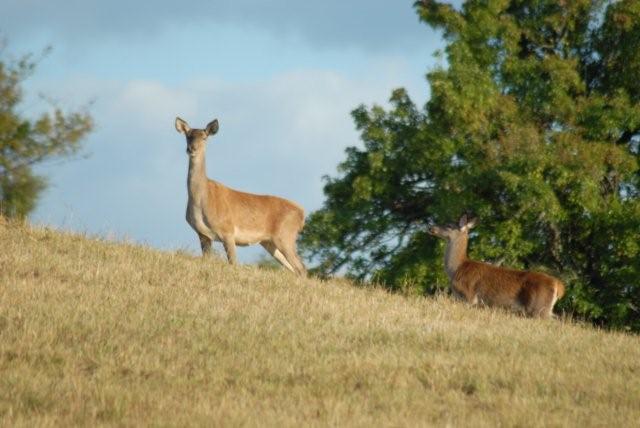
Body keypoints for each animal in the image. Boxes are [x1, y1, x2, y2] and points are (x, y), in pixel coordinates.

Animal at [174, 117, 306, 276]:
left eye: (205, 137)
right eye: (188, 136)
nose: (191, 149)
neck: (201, 201)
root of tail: (302, 214)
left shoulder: (228, 231)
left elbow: (233, 263)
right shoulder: (203, 234)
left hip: (285, 236)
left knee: (301, 268)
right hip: (270, 242)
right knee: (295, 269)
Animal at [428, 216, 564, 316]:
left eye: (449, 225)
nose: (431, 228)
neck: (457, 268)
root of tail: (558, 285)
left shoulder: (469, 296)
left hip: (539, 307)